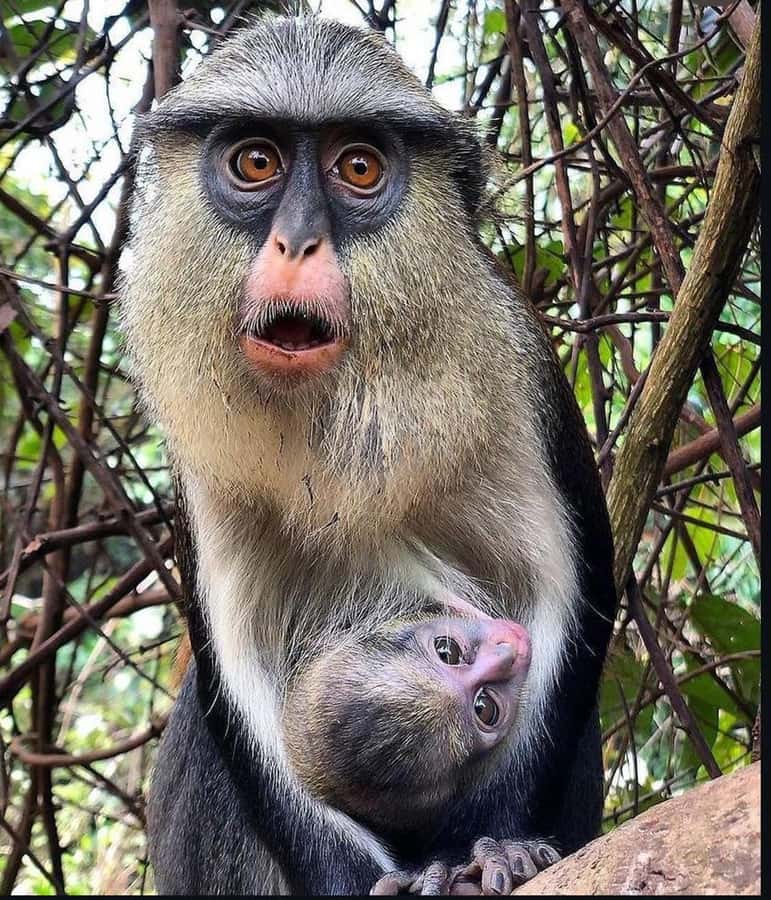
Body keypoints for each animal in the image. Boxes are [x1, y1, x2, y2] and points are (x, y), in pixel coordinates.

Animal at [120, 13, 616, 896]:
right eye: (255, 161)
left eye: (358, 166)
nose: (297, 241)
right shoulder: (201, 474)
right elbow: (237, 697)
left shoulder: (520, 380)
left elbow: (575, 603)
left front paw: (502, 848)